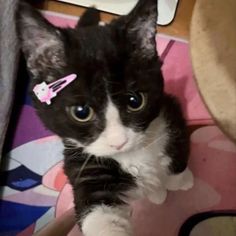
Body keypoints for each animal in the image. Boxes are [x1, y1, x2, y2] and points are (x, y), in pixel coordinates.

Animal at [16, 0, 194, 235]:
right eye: (81, 112)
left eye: (135, 101)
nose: (119, 142)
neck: (132, 155)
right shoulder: (83, 164)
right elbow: (99, 213)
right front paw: (164, 190)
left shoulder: (171, 113)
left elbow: (178, 155)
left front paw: (180, 181)